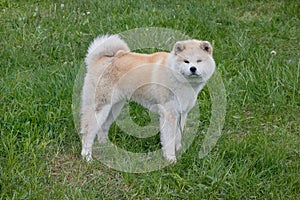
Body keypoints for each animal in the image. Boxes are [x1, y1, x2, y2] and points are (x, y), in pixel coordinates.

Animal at [80, 34, 216, 162]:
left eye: (199, 61)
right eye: (186, 61)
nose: (193, 69)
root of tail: (99, 59)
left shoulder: (182, 112)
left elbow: (178, 135)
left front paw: (179, 150)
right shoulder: (169, 113)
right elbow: (169, 139)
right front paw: (171, 159)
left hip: (114, 108)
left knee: (102, 128)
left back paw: (106, 147)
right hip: (100, 107)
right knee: (88, 132)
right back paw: (87, 157)